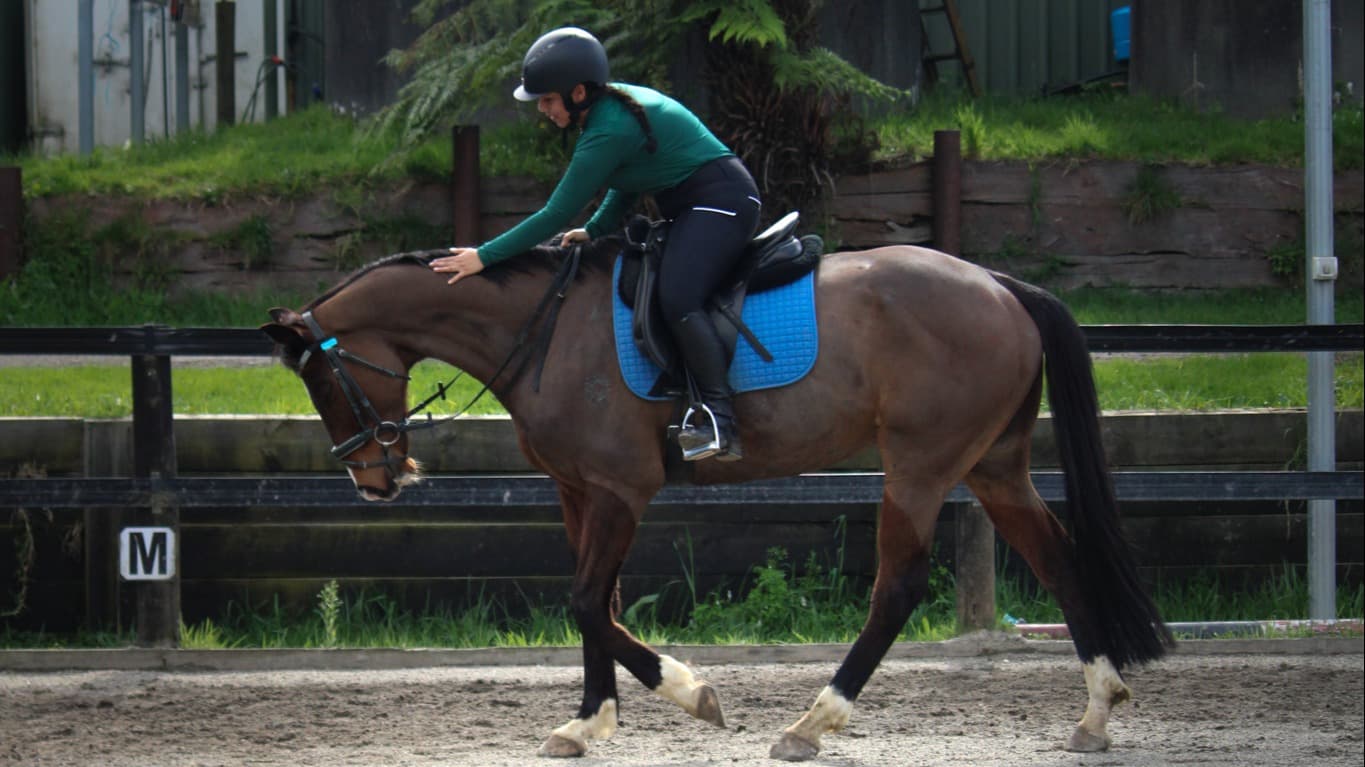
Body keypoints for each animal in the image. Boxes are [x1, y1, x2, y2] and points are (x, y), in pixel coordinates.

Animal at [261, 235, 1172, 761]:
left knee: (898, 587)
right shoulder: (577, 490)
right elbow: (598, 603)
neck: (544, 329)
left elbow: (586, 601)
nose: (374, 480)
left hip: (919, 464)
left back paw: (812, 722)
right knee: (1056, 558)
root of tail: (996, 284)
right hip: (991, 465)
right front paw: (589, 720)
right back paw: (1097, 712)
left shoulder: (621, 488)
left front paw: (686, 691)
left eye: (324, 384)